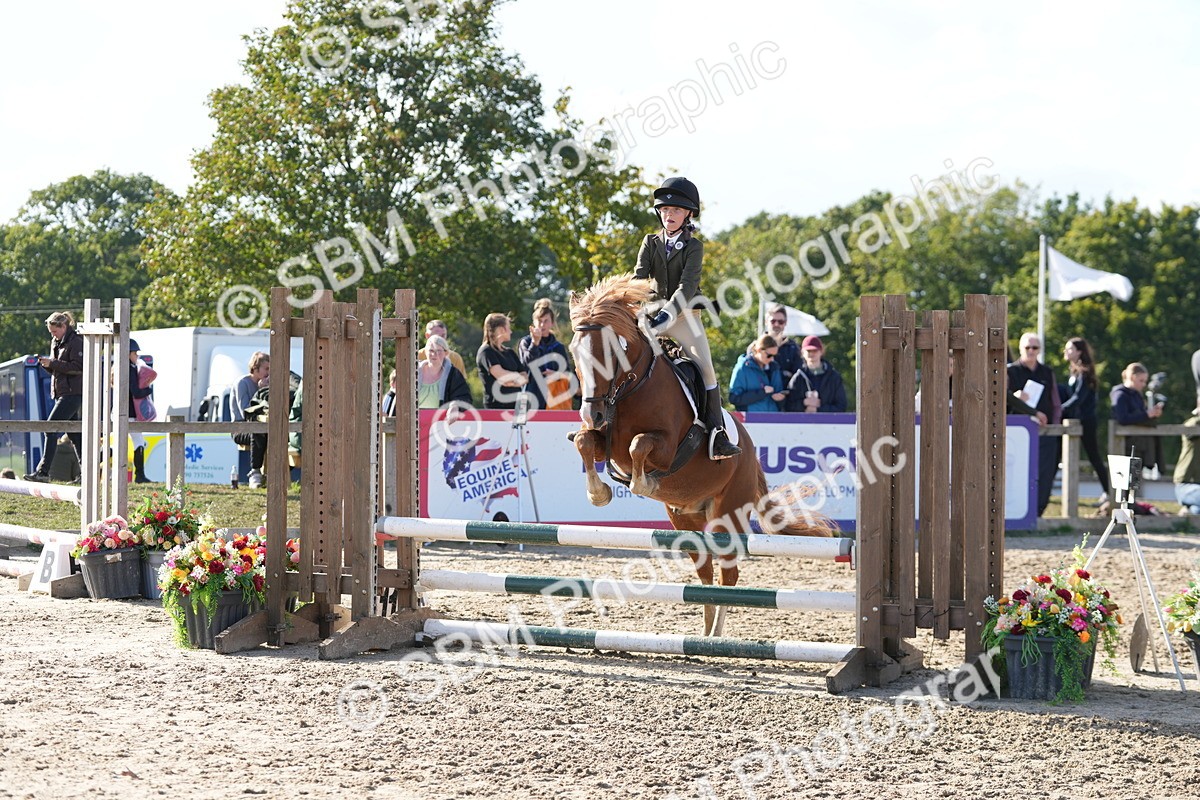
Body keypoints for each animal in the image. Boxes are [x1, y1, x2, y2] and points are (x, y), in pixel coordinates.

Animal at [567, 274, 835, 636]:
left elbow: (639, 446)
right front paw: (599, 494)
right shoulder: (605, 441)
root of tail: (751, 456)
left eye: (610, 352)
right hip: (686, 519)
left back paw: (716, 636)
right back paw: (707, 635)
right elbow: (584, 442)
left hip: (729, 513)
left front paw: (643, 484)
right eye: (574, 351)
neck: (630, 389)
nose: (590, 413)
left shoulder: (666, 449)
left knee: (728, 574)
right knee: (706, 573)